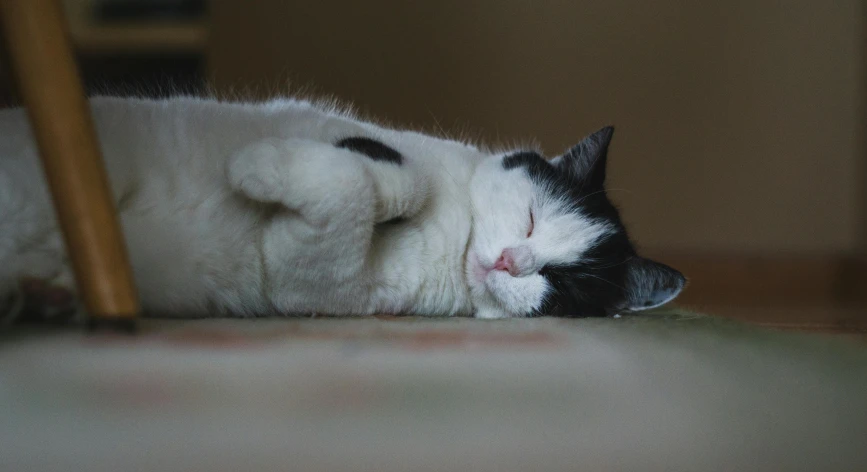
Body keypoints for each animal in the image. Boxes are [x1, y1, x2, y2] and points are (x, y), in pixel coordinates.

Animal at [0, 95, 688, 320]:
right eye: (531, 220)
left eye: (559, 282)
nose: (510, 262)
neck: (454, 238)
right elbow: (392, 170)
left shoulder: (307, 280)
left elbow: (353, 190)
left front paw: (254, 166)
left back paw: (41, 293)